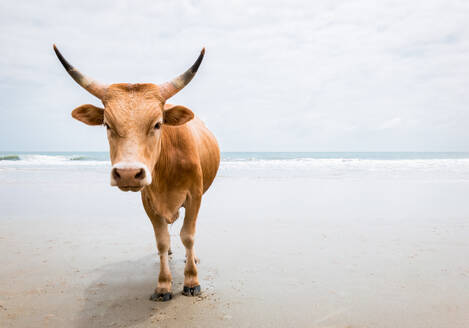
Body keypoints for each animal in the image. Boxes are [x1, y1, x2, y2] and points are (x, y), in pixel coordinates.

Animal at [53, 44, 219, 302]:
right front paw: (163, 285)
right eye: (107, 125)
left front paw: (192, 280)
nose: (129, 173)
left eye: (158, 124)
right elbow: (161, 240)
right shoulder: (148, 200)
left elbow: (188, 235)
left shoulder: (195, 196)